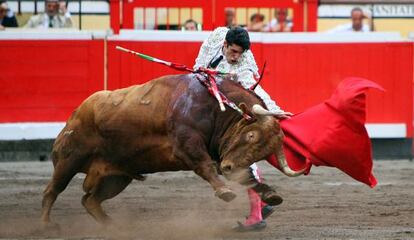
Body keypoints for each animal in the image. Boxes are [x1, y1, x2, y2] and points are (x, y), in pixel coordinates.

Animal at [40, 73, 304, 227]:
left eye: (264, 153)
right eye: (250, 135)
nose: (229, 168)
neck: (216, 106)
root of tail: (74, 115)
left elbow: (248, 177)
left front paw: (270, 193)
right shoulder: (187, 144)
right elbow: (206, 166)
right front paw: (225, 191)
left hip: (116, 176)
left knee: (90, 200)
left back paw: (113, 226)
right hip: (69, 160)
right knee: (52, 191)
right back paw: (47, 225)